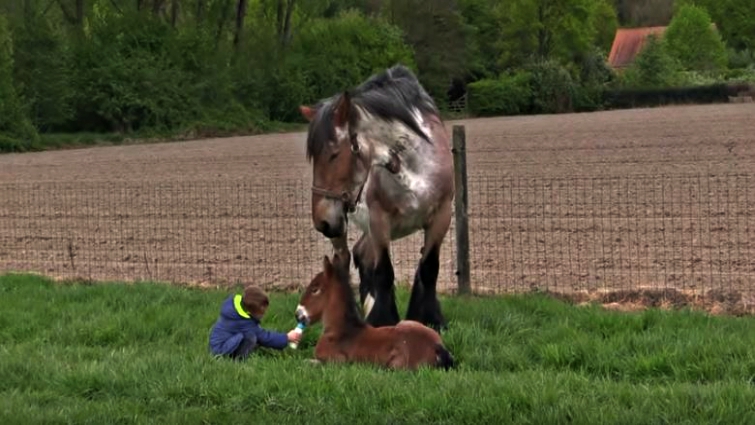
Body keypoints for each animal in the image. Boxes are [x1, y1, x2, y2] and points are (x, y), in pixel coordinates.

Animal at [295, 253, 455, 371]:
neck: (341, 331)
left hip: (395, 365)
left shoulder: (337, 361)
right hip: (407, 323)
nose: (298, 315)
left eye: (315, 289)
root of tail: (438, 347)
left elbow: (307, 361)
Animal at [298, 64, 455, 333]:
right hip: (344, 226)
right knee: (345, 260)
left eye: (333, 154)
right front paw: (383, 321)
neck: (414, 167)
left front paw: (430, 319)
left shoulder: (441, 216)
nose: (321, 221)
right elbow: (384, 272)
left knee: (362, 254)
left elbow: (428, 269)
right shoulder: (379, 219)